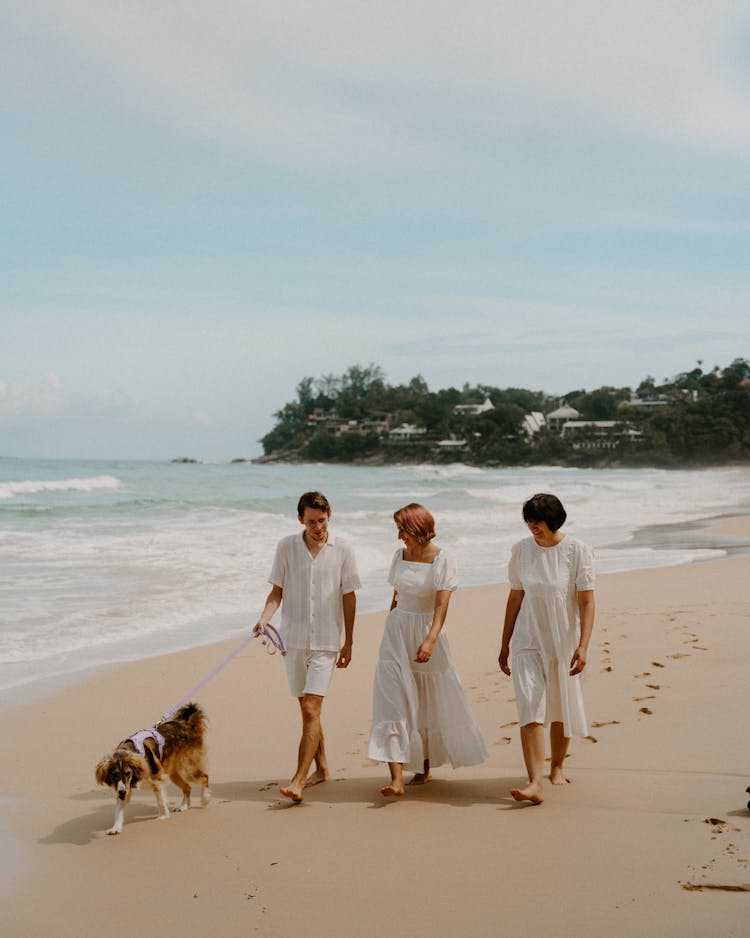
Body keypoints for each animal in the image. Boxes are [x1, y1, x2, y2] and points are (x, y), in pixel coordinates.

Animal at [95, 704, 212, 832]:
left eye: (128, 773)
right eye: (114, 775)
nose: (122, 792)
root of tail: (188, 725)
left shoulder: (156, 781)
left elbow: (161, 801)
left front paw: (164, 816)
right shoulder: (125, 787)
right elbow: (118, 810)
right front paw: (115, 828)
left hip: (188, 770)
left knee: (205, 777)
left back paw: (205, 799)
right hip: (173, 774)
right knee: (188, 787)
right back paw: (183, 806)